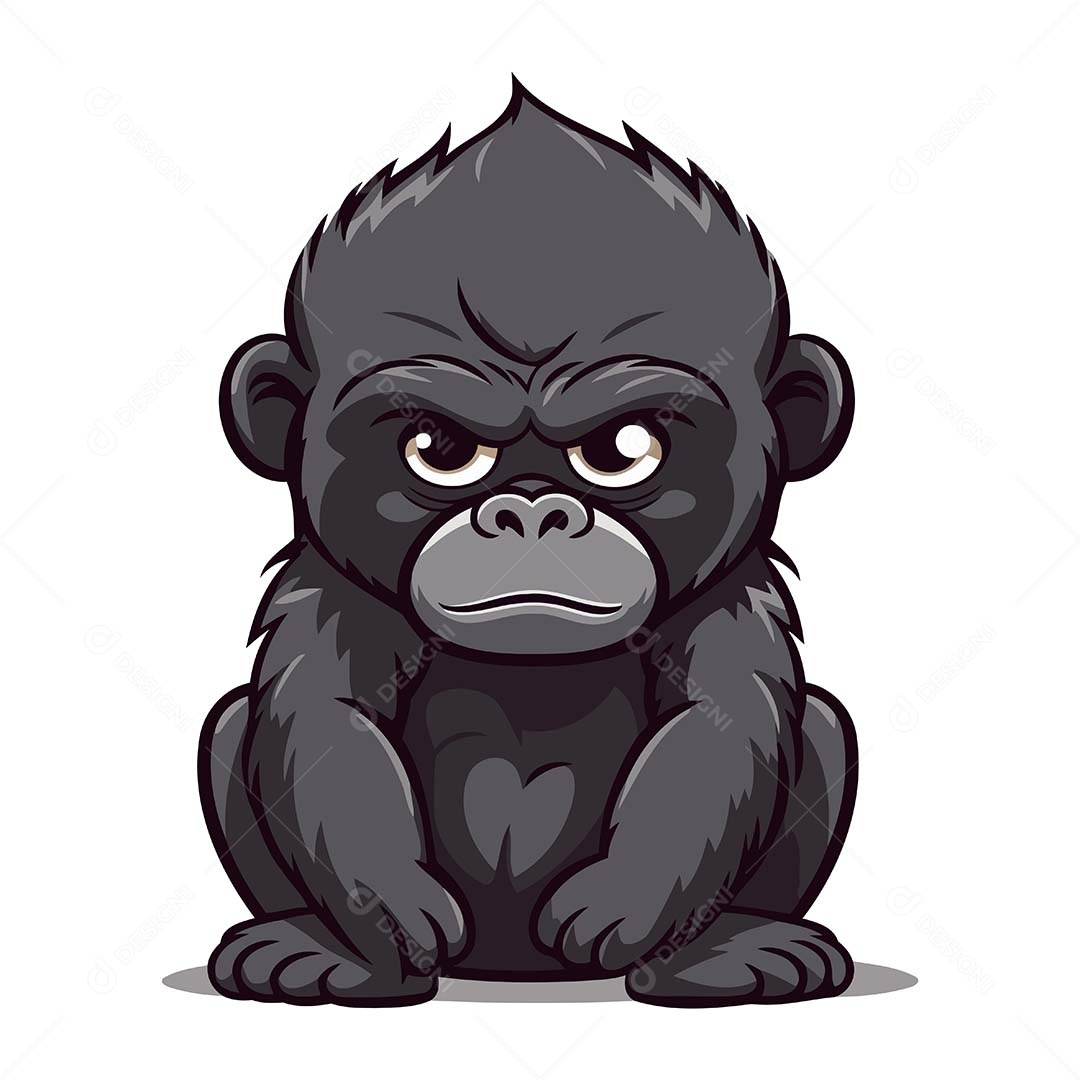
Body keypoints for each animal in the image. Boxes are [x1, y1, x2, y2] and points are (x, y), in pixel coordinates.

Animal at [199, 79, 857, 1008]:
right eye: (438, 448)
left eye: (624, 448)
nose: (534, 512)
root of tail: (512, 971)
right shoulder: (330, 591)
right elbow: (324, 720)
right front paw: (388, 903)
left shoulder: (732, 595)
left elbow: (719, 722)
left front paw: (631, 891)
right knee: (231, 723)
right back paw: (326, 952)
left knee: (825, 723)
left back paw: (718, 952)